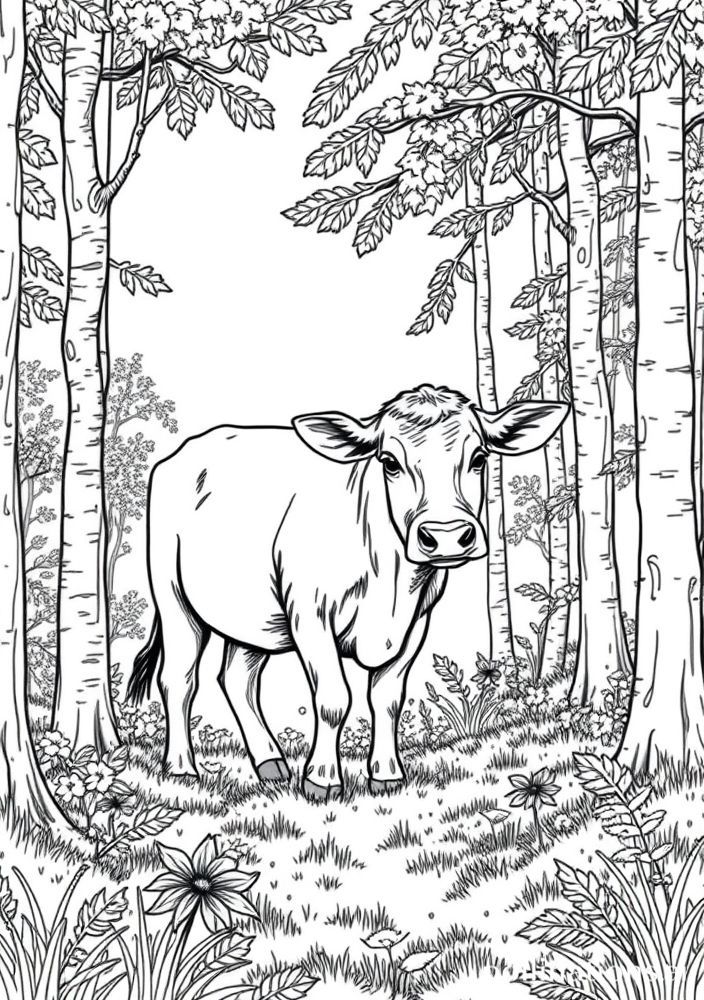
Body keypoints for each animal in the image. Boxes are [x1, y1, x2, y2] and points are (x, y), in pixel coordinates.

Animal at [127, 385, 567, 799]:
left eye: (478, 458)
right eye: (389, 462)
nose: (444, 537)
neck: (390, 580)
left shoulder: (416, 622)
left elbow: (387, 699)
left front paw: (386, 775)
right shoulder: (310, 613)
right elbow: (334, 700)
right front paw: (321, 779)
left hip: (252, 614)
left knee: (238, 680)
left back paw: (270, 763)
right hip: (172, 594)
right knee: (179, 679)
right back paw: (182, 768)